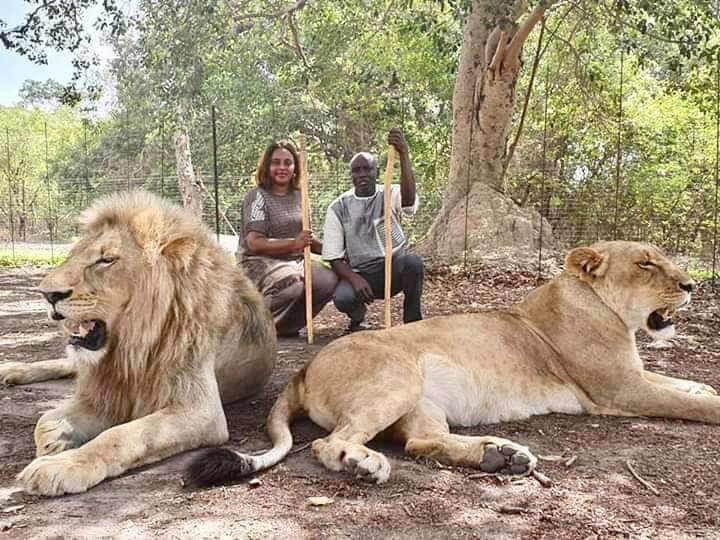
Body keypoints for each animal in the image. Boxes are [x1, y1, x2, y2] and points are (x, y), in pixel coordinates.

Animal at [0, 191, 276, 498]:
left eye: (106, 259)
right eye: (71, 256)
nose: (47, 294)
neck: (130, 349)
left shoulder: (202, 411)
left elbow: (121, 435)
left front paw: (64, 465)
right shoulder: (107, 391)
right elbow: (46, 420)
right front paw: (54, 443)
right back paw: (11, 371)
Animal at [187, 240, 720, 486]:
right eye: (646, 263)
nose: (692, 284)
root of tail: (302, 369)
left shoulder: (633, 377)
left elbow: (685, 385)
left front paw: (705, 387)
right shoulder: (618, 389)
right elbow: (688, 401)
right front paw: (710, 402)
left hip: (418, 402)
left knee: (421, 442)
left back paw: (501, 456)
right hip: (397, 376)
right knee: (330, 443)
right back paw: (363, 463)